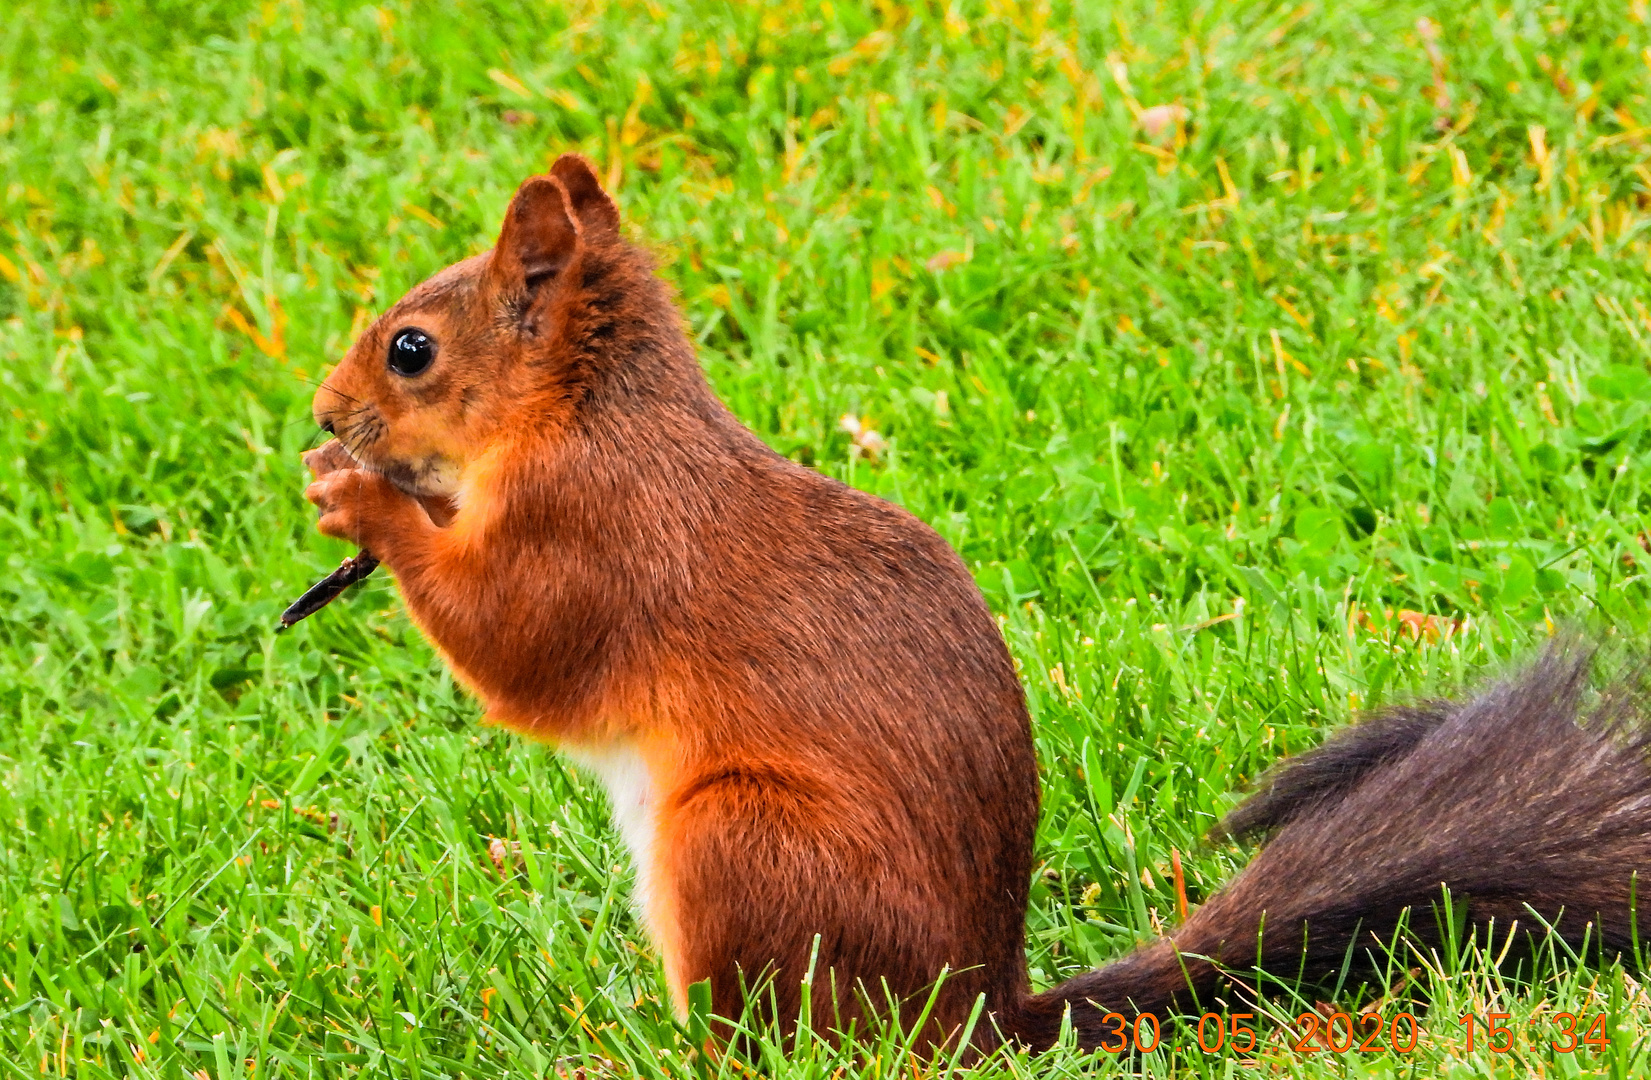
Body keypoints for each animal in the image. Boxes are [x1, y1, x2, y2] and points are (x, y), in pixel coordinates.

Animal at [303, 156, 1651, 1056]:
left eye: (411, 349)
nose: (322, 414)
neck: (586, 417)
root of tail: (974, 1015)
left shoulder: (594, 534)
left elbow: (517, 648)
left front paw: (358, 503)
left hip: (747, 845)